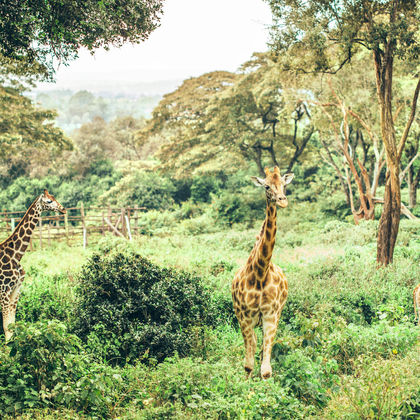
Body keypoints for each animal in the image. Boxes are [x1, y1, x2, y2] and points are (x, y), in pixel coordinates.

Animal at [0, 189, 65, 340]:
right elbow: (6, 327)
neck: (16, 256)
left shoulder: (16, 289)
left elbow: (12, 325)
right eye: (49, 201)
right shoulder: (4, 290)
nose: (63, 209)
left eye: (54, 197)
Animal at [231, 167, 294, 380]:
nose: (282, 200)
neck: (260, 271)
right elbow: (248, 366)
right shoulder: (245, 315)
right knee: (252, 345)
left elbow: (266, 371)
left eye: (284, 184)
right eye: (266, 186)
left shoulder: (271, 314)